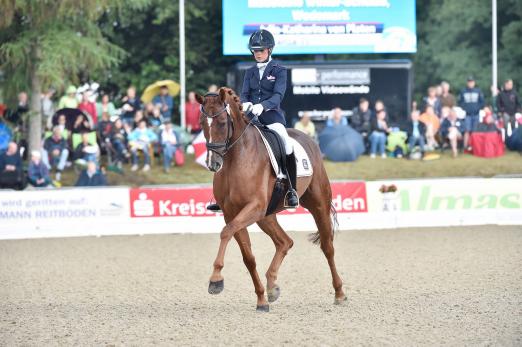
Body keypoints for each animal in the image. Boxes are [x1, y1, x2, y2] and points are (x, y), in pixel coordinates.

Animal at [196, 87, 346, 312]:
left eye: (222, 122)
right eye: (202, 123)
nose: (213, 163)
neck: (236, 158)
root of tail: (308, 138)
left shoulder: (254, 207)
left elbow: (225, 232)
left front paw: (215, 280)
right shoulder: (233, 213)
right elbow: (248, 257)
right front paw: (261, 300)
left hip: (318, 203)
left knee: (327, 247)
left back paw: (339, 293)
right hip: (266, 216)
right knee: (285, 242)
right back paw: (272, 285)